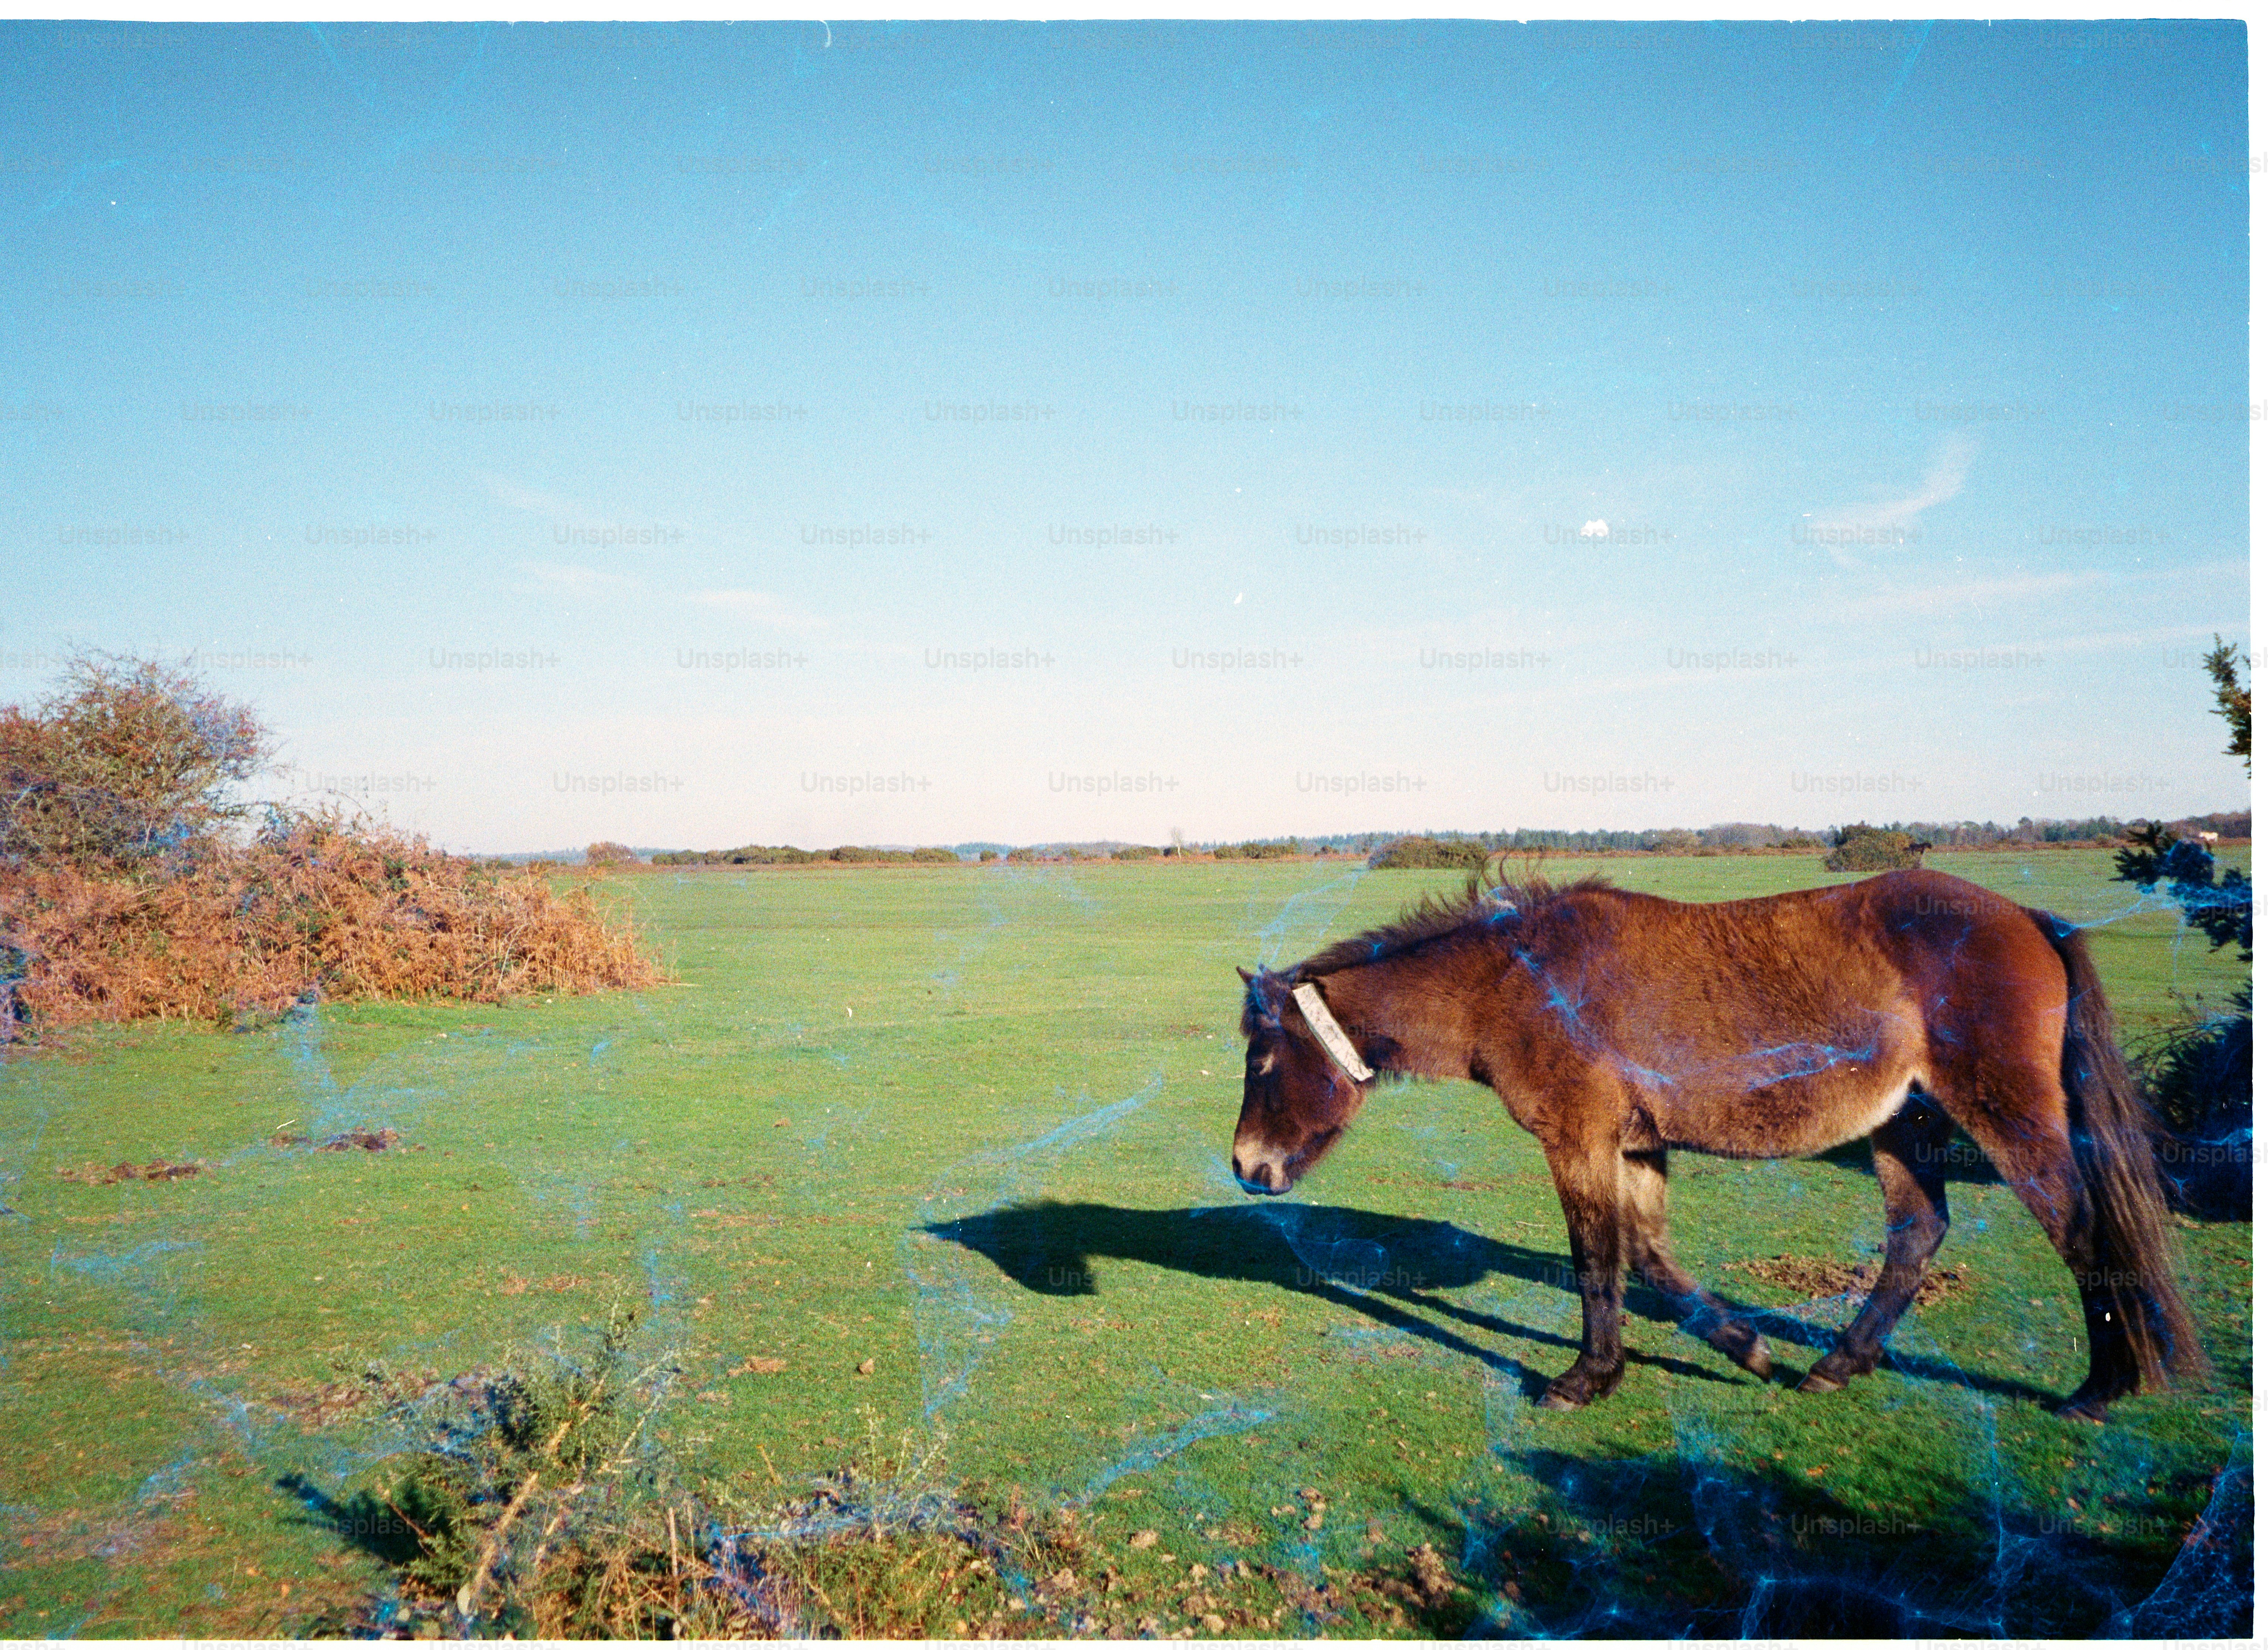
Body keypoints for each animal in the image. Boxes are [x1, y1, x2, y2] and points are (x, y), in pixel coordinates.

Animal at [1228, 866, 2202, 1420]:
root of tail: (2030, 919)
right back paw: (1834, 1367)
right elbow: (1651, 1258)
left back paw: (2099, 1390)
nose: (1245, 1166)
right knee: (1917, 1236)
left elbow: (1596, 1258)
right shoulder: (1633, 1146)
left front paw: (1584, 1378)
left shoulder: (1578, 1142)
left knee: (2081, 1231)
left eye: (1264, 1057)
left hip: (2006, 1115)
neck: (1511, 979)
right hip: (1905, 1123)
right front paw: (1745, 1347)